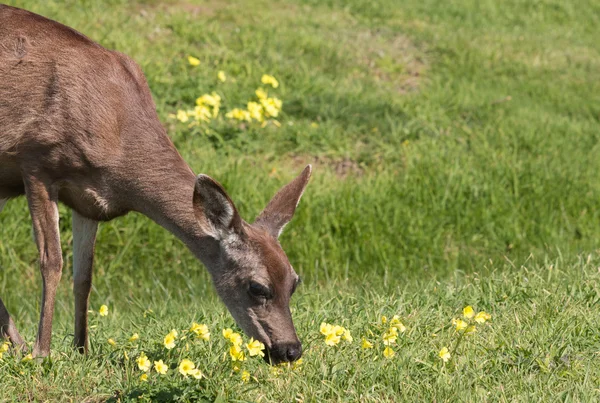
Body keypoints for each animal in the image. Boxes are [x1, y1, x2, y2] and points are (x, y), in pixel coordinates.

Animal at [0, 5, 310, 366]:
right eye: (257, 287)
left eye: (294, 281)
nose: (290, 349)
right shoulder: (35, 161)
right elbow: (52, 263)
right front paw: (41, 353)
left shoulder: (88, 201)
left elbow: (84, 276)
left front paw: (82, 349)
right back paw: (21, 345)